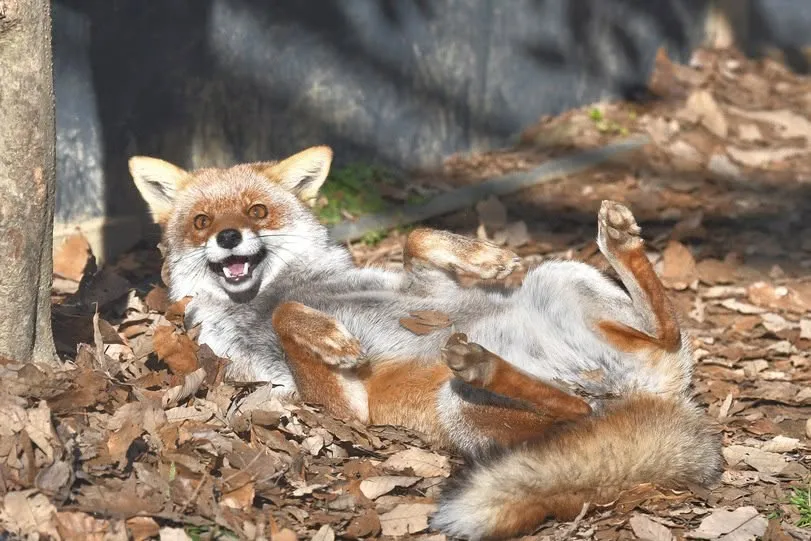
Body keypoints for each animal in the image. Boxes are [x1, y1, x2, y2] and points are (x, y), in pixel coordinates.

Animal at [128, 145, 723, 540]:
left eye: (257, 212)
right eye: (202, 221)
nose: (228, 237)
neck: (279, 288)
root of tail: (662, 403)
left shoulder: (421, 290)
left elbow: (414, 240)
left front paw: (484, 257)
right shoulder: (338, 406)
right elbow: (287, 320)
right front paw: (332, 338)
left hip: (560, 275)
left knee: (666, 330)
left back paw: (618, 244)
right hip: (461, 406)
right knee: (575, 407)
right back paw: (483, 364)